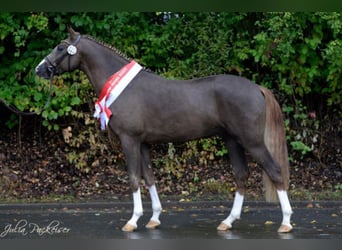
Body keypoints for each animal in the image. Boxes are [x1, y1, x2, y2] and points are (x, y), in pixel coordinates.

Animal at [34, 28, 292, 233]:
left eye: (60, 47)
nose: (39, 69)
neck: (122, 86)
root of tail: (257, 88)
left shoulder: (129, 141)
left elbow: (134, 178)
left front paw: (132, 220)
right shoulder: (144, 143)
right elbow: (149, 177)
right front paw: (154, 218)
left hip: (252, 142)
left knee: (275, 171)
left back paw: (286, 222)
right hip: (232, 141)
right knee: (241, 175)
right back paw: (228, 221)